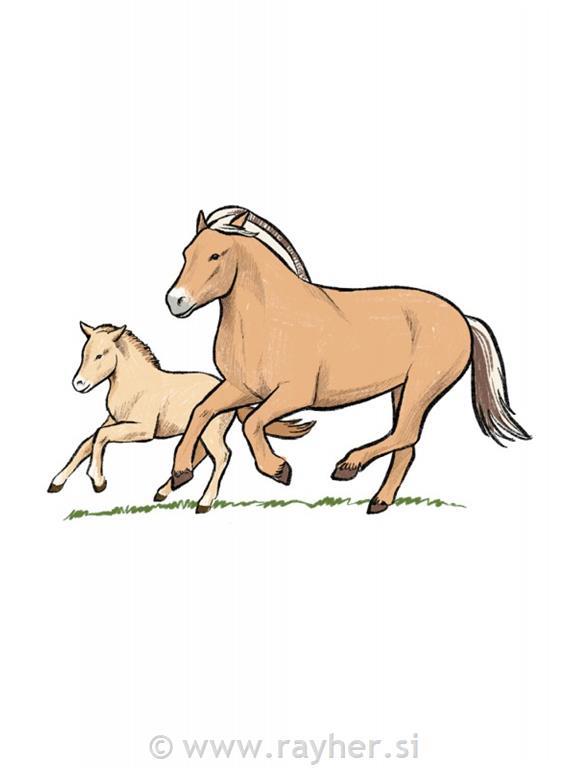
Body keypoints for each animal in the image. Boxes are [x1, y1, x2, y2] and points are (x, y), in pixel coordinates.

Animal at [48, 322, 314, 511]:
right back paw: (165, 490)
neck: (135, 384)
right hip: (201, 433)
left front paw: (98, 481)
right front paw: (56, 482)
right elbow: (87, 443)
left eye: (100, 355)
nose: (79, 384)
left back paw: (204, 503)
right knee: (200, 456)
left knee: (221, 456)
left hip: (211, 431)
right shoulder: (113, 420)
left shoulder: (142, 430)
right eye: (84, 353)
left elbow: (100, 438)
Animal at [165, 206, 530, 513]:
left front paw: (280, 469)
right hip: (402, 390)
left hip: (422, 386)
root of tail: (463, 318)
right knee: (406, 444)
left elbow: (252, 423)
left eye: (215, 254)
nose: (176, 301)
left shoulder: (294, 395)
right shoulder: (241, 389)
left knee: (406, 435)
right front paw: (181, 473)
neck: (270, 319)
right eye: (186, 253)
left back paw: (347, 467)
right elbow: (202, 411)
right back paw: (379, 501)